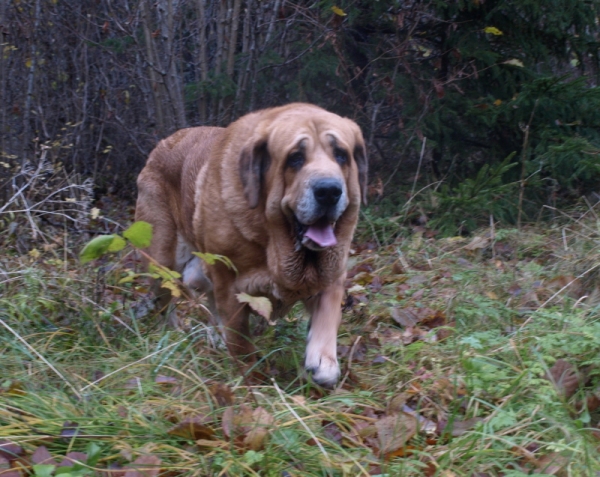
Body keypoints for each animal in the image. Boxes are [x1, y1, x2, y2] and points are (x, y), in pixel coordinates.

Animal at [137, 102, 368, 384]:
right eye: (295, 158)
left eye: (341, 155)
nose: (329, 190)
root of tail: (161, 145)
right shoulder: (229, 286)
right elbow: (240, 339)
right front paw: (252, 380)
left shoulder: (331, 271)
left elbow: (328, 311)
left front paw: (324, 362)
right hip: (161, 261)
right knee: (166, 302)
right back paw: (171, 340)